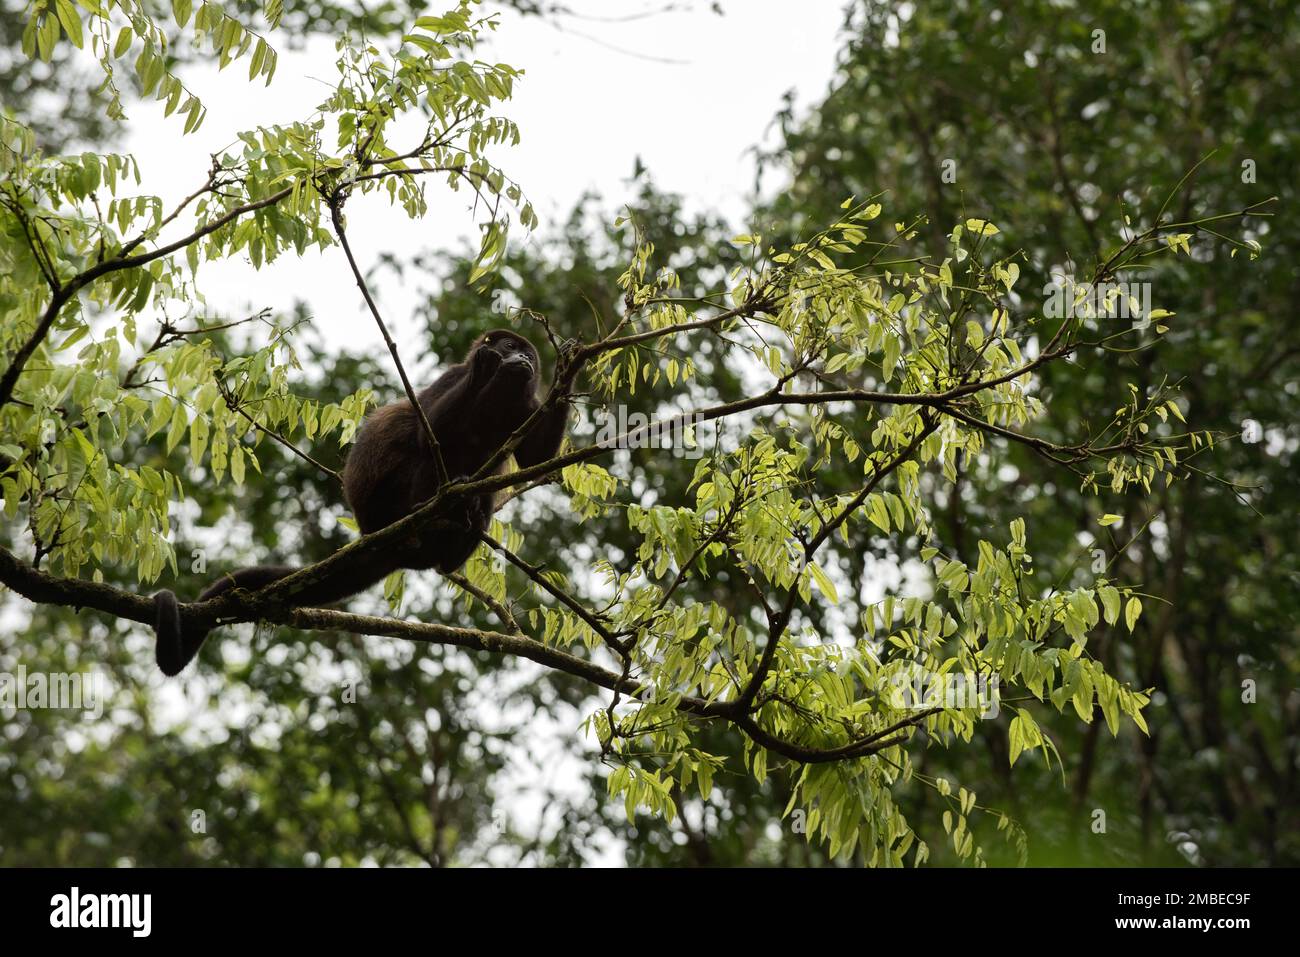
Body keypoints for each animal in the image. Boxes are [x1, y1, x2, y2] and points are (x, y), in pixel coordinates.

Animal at [152, 329, 570, 676]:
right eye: (511, 346)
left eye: (530, 354)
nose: (526, 359)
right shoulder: (452, 377)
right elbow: (430, 432)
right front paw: (484, 368)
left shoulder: (528, 403)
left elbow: (537, 458)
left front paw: (568, 367)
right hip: (386, 503)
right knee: (419, 454)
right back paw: (433, 506)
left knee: (480, 496)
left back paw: (464, 528)